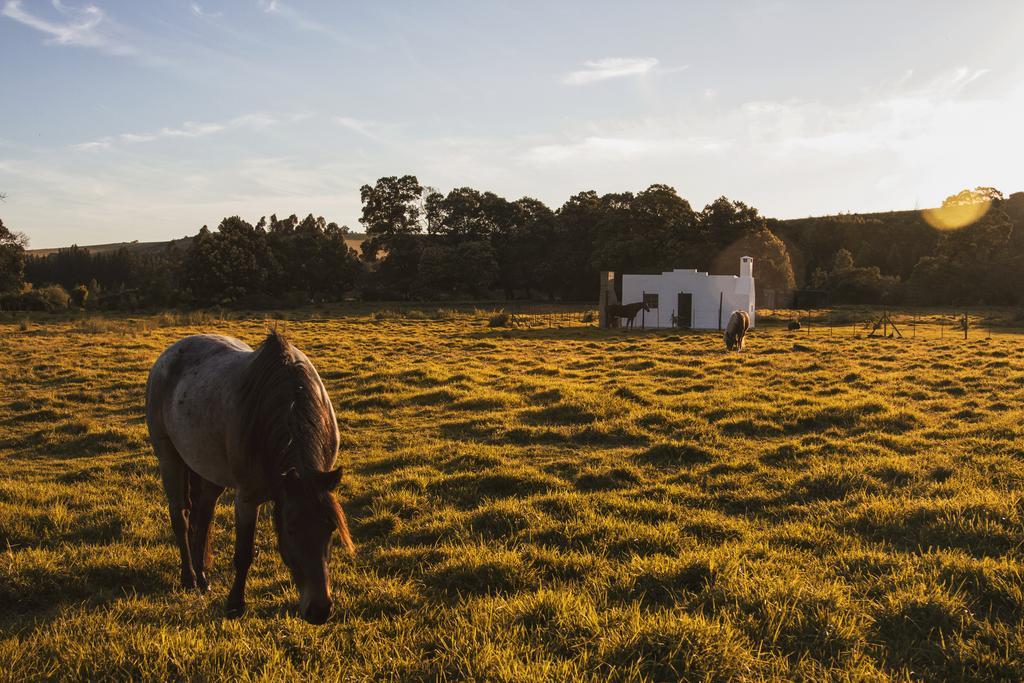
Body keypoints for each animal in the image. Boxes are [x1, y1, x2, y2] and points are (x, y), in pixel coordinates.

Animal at [144, 331, 352, 626]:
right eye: (291, 530)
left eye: (331, 528)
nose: (319, 611)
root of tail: (169, 354)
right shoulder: (247, 499)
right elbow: (243, 553)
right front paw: (235, 605)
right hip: (169, 459)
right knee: (181, 516)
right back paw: (189, 578)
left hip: (208, 472)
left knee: (202, 516)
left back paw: (203, 576)